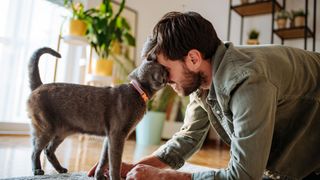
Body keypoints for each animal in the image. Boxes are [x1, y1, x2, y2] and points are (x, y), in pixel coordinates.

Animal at [27, 47, 168, 179]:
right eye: (164, 70)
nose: (166, 78)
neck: (138, 91)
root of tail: (40, 86)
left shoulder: (110, 136)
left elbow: (104, 160)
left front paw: (99, 176)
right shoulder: (117, 135)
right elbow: (115, 163)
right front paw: (115, 178)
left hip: (62, 132)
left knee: (48, 150)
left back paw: (61, 169)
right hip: (46, 128)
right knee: (35, 150)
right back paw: (37, 170)